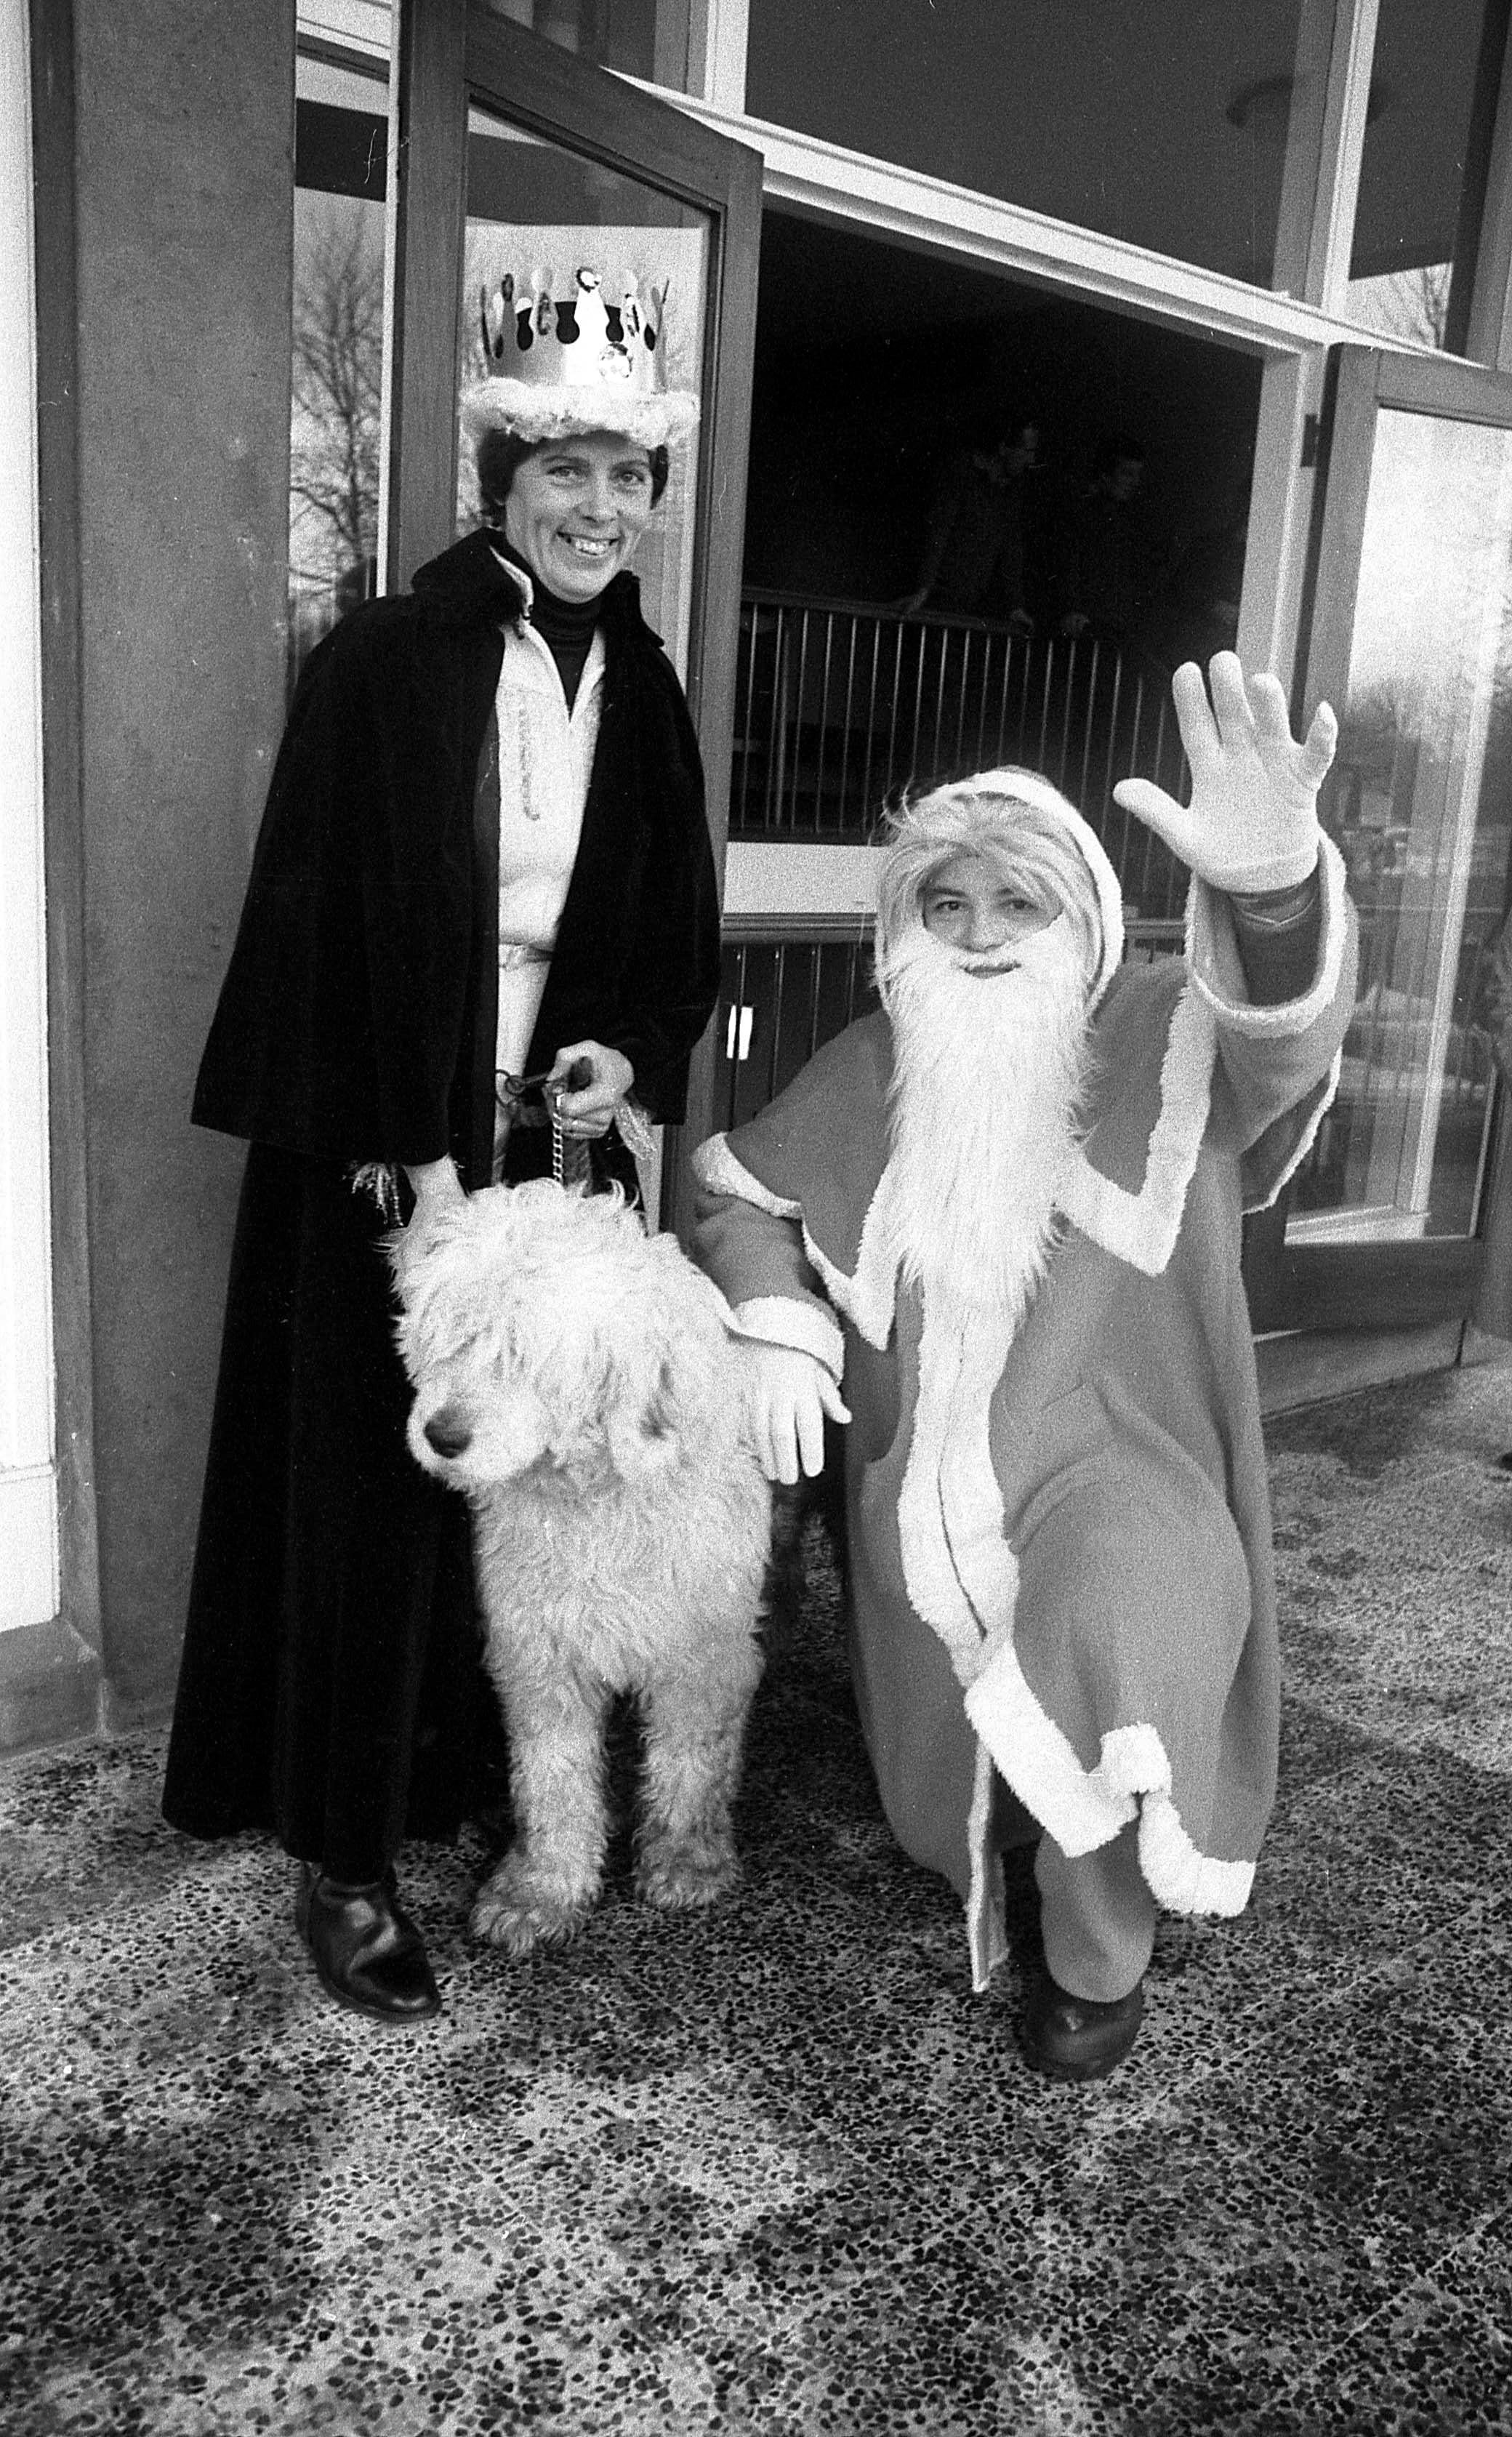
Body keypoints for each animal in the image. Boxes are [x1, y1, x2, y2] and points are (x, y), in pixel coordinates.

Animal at [392, 1179, 764, 1959]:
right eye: (453, 1335)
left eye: (525, 1354)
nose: (441, 1437)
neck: (595, 1499)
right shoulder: (538, 1653)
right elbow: (552, 1780)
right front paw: (542, 1890)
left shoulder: (701, 1654)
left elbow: (690, 1765)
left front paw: (685, 1860)